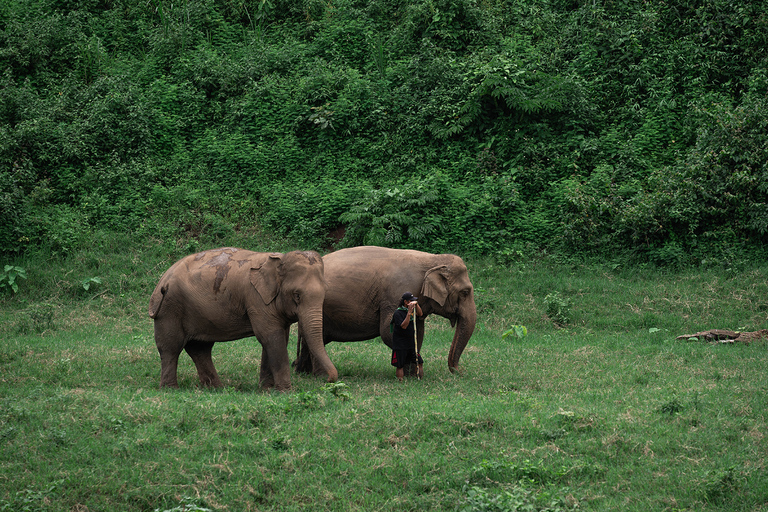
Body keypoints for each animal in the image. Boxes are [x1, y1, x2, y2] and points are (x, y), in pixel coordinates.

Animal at [148, 246, 338, 390]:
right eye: (297, 295)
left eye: (325, 292)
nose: (328, 380)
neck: (278, 259)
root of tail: (161, 280)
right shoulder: (255, 298)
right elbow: (270, 336)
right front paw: (285, 391)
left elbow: (277, 338)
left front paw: (267, 389)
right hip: (170, 308)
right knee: (170, 347)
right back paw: (171, 389)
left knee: (200, 348)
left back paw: (216, 388)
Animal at [294, 247, 474, 376]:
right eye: (465, 292)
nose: (460, 372)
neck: (432, 259)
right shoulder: (395, 295)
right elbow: (389, 331)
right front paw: (410, 374)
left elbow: (418, 332)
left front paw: (413, 372)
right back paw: (317, 374)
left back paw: (303, 371)